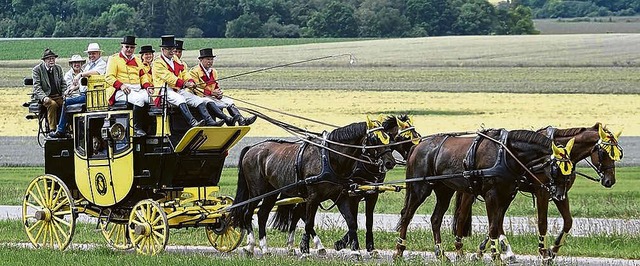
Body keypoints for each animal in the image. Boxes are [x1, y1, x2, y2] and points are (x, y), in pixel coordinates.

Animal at [228, 117, 398, 258]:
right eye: (374, 138)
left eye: (389, 138)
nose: (390, 162)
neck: (329, 158)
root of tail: (251, 148)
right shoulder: (313, 198)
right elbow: (309, 223)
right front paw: (305, 251)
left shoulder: (342, 197)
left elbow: (352, 223)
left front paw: (355, 251)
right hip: (257, 191)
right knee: (248, 213)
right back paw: (250, 246)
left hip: (271, 193)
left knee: (262, 214)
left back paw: (265, 248)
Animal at [392, 129, 572, 264]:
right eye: (556, 169)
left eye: (569, 170)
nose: (560, 195)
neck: (506, 154)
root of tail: (417, 146)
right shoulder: (491, 195)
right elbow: (493, 227)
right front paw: (496, 256)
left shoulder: (507, 195)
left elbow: (497, 223)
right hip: (419, 188)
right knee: (407, 216)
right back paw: (399, 251)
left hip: (444, 190)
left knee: (435, 219)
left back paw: (441, 254)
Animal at [452, 122, 624, 262]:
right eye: (604, 153)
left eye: (618, 153)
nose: (610, 180)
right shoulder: (543, 191)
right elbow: (542, 222)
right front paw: (544, 252)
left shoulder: (560, 193)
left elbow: (568, 221)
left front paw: (554, 249)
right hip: (471, 191)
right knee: (463, 216)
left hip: (506, 193)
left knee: (498, 219)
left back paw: (501, 251)